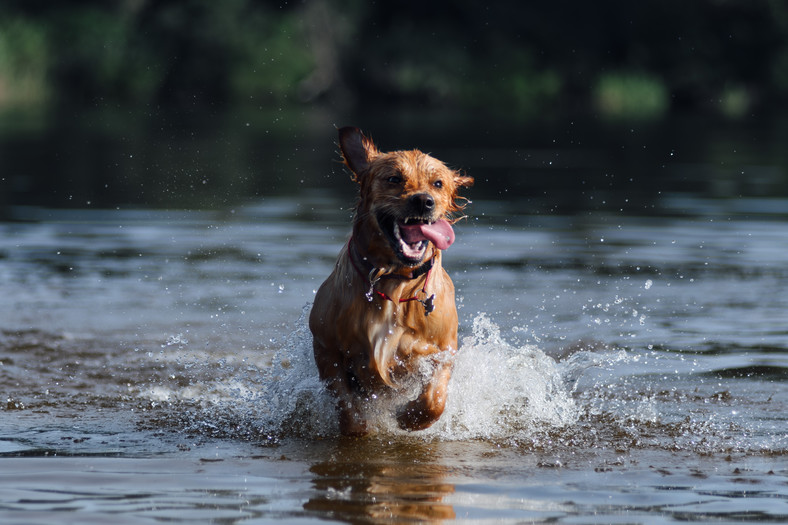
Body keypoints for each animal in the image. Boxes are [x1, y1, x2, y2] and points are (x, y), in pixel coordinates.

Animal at [308, 127, 470, 434]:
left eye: (438, 183)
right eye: (394, 178)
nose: (424, 201)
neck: (394, 282)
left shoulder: (445, 349)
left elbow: (435, 399)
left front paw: (410, 417)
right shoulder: (326, 347)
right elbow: (346, 405)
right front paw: (359, 427)